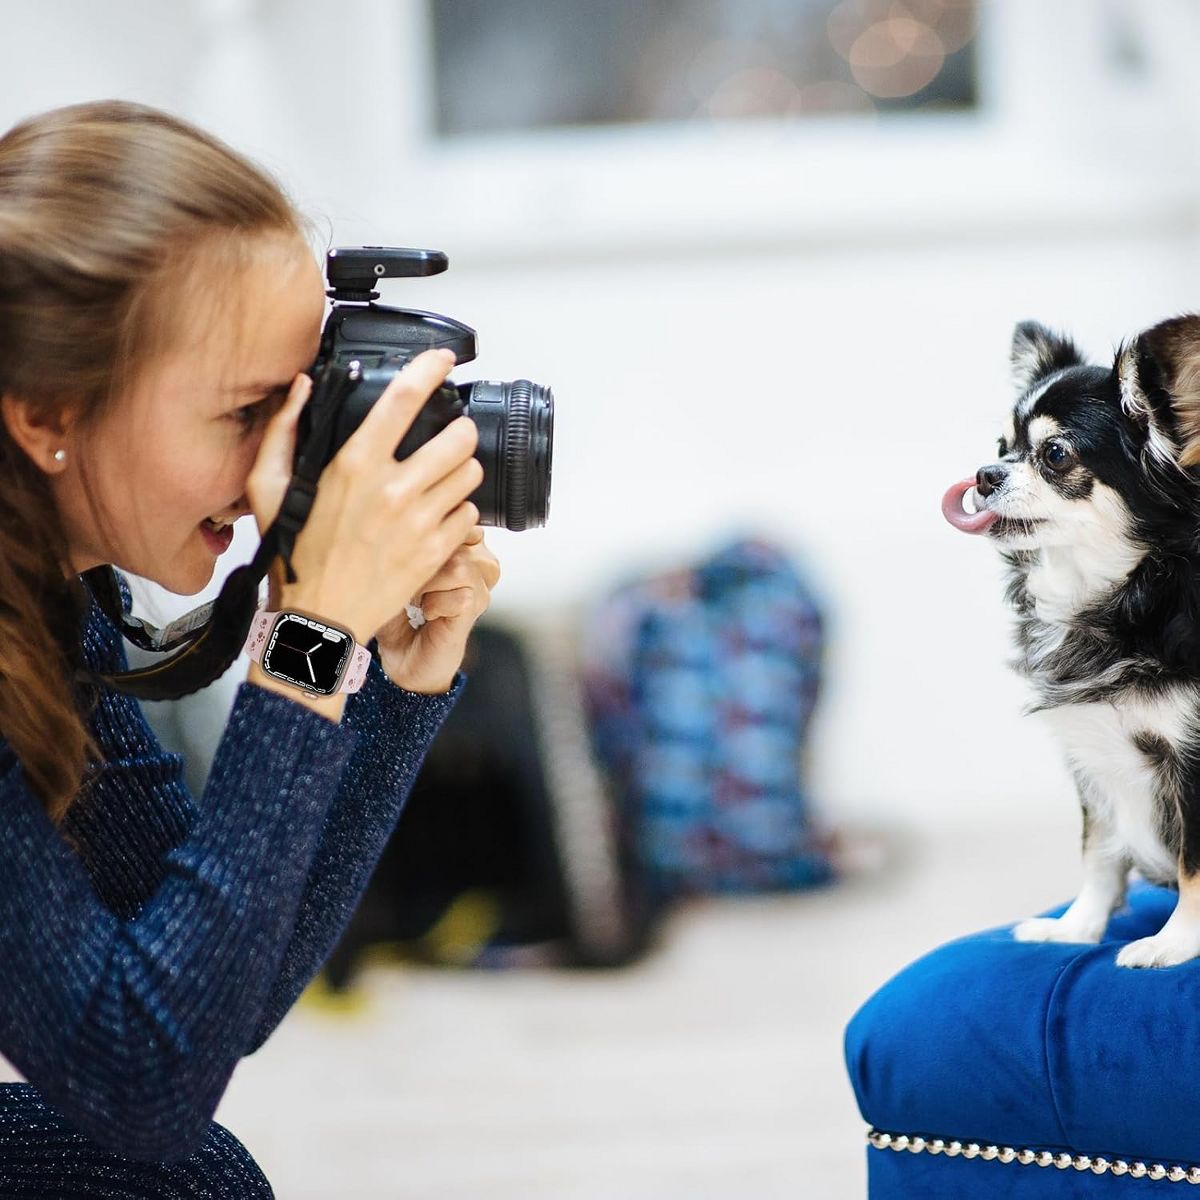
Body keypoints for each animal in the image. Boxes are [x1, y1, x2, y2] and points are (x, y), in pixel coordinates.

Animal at [942, 316, 1200, 967]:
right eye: (1001, 447)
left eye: (1055, 455)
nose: (984, 475)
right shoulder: (1094, 759)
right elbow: (1098, 852)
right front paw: (1077, 929)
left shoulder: (1192, 768)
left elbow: (1193, 866)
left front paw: (1175, 942)